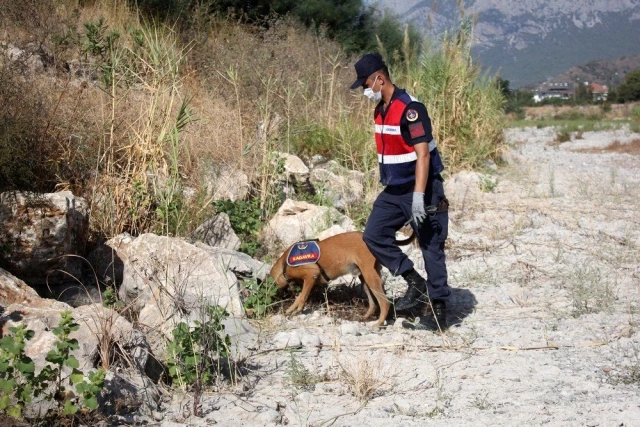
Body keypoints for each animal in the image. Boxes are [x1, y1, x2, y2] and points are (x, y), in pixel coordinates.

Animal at [270, 231, 416, 328]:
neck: (283, 264)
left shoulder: (311, 275)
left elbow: (302, 297)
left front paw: (296, 309)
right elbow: (300, 296)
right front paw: (292, 309)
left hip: (369, 275)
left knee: (384, 302)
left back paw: (378, 323)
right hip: (365, 278)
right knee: (374, 303)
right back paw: (365, 317)